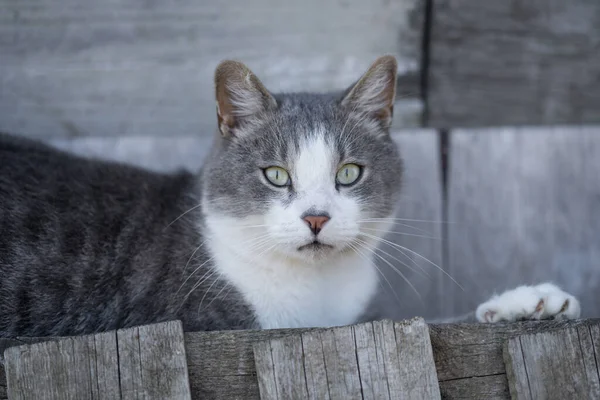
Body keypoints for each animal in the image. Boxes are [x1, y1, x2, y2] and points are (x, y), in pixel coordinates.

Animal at [0, 56, 580, 338]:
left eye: (349, 173)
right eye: (277, 176)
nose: (317, 218)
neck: (316, 290)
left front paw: (530, 303)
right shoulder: (213, 325)